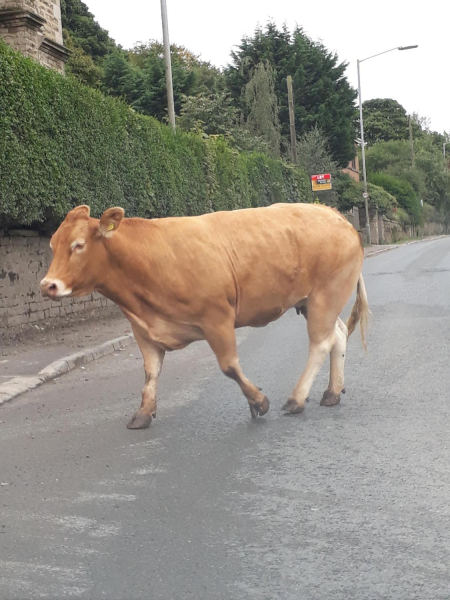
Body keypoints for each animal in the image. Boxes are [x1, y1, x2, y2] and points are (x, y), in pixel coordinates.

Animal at [40, 204, 370, 428]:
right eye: (53, 245)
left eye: (78, 245)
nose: (47, 285)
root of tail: (334, 214)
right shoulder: (143, 330)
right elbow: (150, 373)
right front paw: (143, 413)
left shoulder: (217, 318)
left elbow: (229, 367)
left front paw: (258, 402)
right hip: (314, 301)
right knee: (338, 335)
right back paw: (332, 392)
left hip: (325, 294)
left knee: (320, 343)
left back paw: (297, 399)